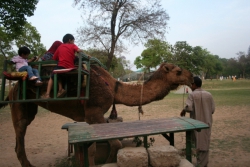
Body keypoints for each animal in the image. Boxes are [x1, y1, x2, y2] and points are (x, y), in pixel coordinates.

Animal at [0, 62, 193, 166]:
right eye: (178, 71)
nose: (194, 78)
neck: (113, 87)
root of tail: (13, 86)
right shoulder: (94, 114)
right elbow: (103, 147)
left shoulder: (93, 117)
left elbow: (104, 145)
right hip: (18, 104)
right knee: (20, 135)